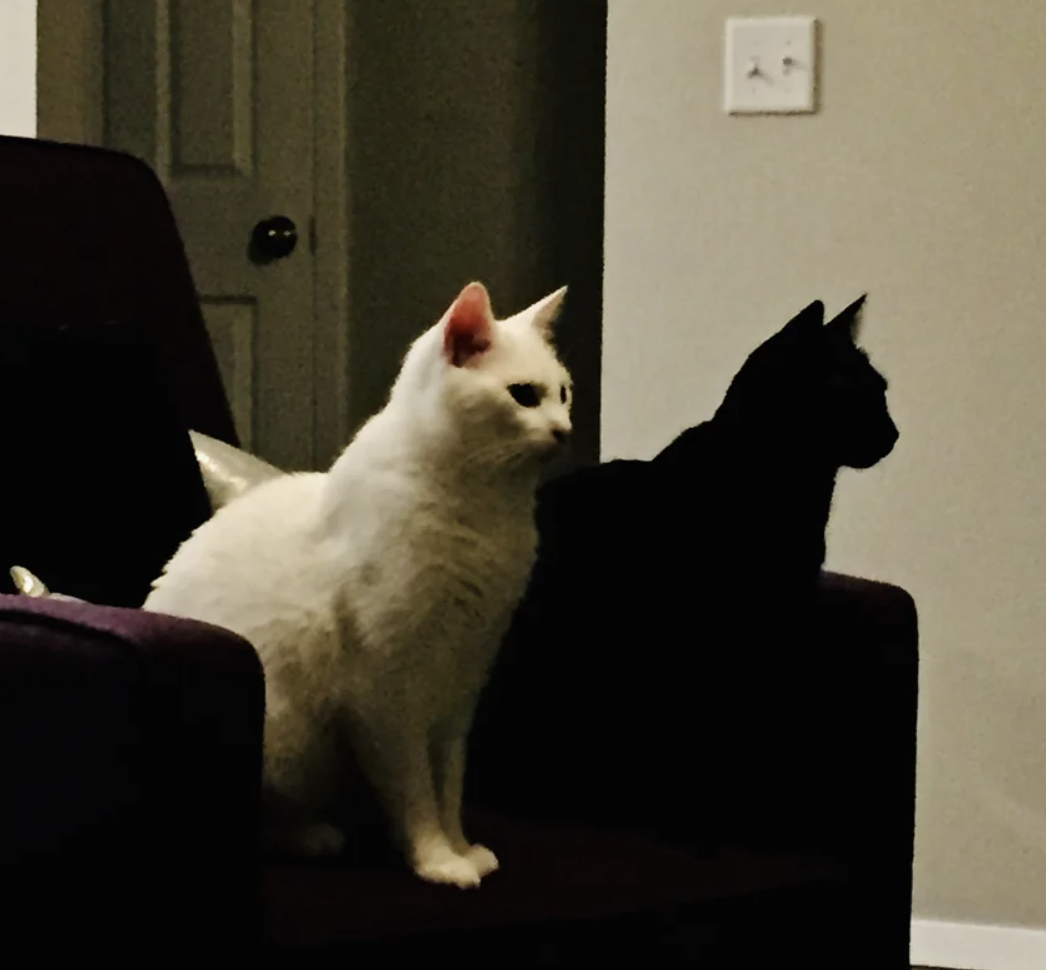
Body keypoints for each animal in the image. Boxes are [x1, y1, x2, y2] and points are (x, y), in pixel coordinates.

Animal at [143, 280, 573, 887]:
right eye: (524, 396)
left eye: (564, 393)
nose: (565, 430)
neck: (486, 515)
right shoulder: (386, 694)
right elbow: (415, 793)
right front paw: (437, 861)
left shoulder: (459, 690)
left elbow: (449, 787)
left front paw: (462, 849)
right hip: (285, 742)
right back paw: (315, 837)